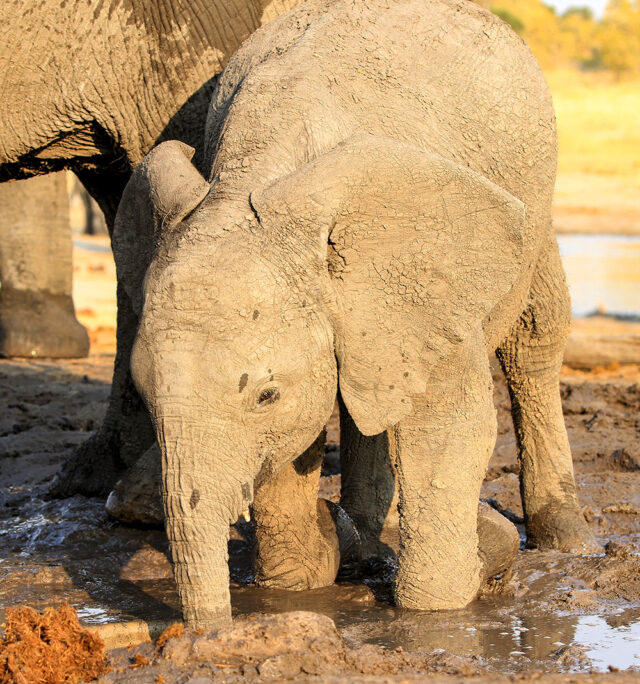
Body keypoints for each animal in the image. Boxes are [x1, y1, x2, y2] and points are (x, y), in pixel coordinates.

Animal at [112, 0, 602, 629]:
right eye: (145, 395)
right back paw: (365, 541)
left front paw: (446, 599)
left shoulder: (422, 273)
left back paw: (564, 540)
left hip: (537, 204)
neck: (252, 175)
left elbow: (450, 429)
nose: (209, 635)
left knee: (533, 339)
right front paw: (306, 573)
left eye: (265, 395)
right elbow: (295, 443)